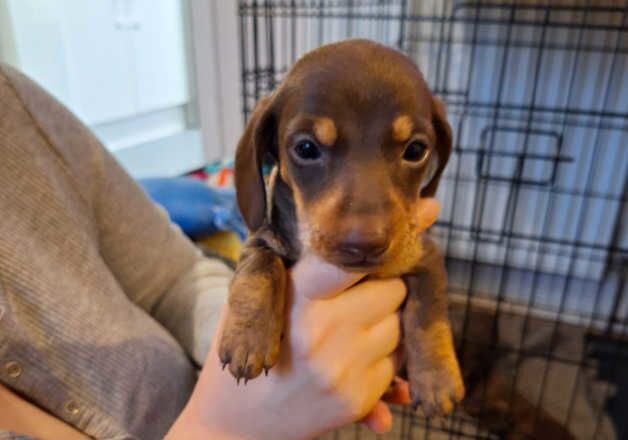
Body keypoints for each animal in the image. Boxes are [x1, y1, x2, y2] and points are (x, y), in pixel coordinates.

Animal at [218, 37, 464, 416]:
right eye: (306, 148)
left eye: (416, 150)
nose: (364, 244)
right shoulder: (264, 237)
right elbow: (259, 266)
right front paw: (248, 335)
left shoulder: (424, 255)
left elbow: (429, 314)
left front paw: (437, 378)